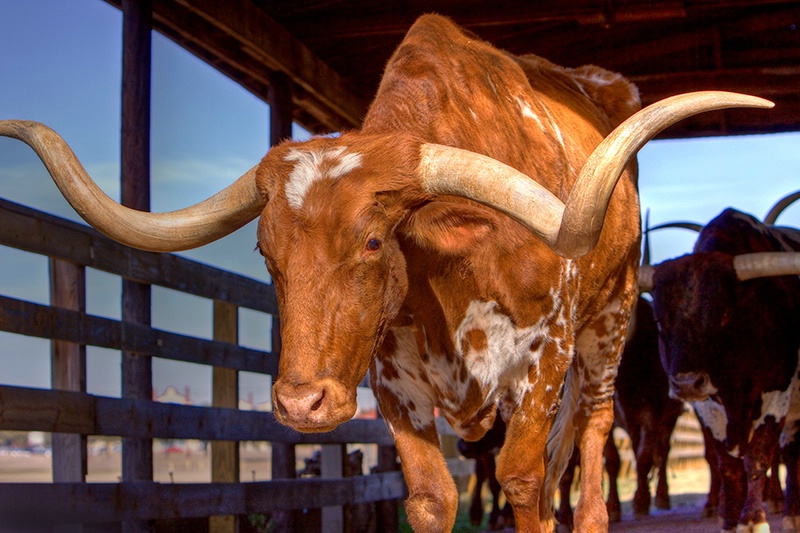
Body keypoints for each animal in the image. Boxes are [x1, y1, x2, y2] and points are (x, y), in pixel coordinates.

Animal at [3, 15, 772, 532]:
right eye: (266, 253)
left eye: (374, 241)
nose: (302, 403)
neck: (452, 272)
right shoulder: (394, 384)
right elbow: (434, 498)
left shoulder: (543, 359)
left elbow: (525, 481)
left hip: (606, 327)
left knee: (590, 439)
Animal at [640, 209, 800, 532]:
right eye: (660, 321)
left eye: (723, 315)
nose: (687, 383)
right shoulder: (707, 408)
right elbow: (727, 465)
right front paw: (729, 519)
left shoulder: (779, 391)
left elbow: (758, 458)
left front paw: (753, 520)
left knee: (791, 452)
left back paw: (791, 514)